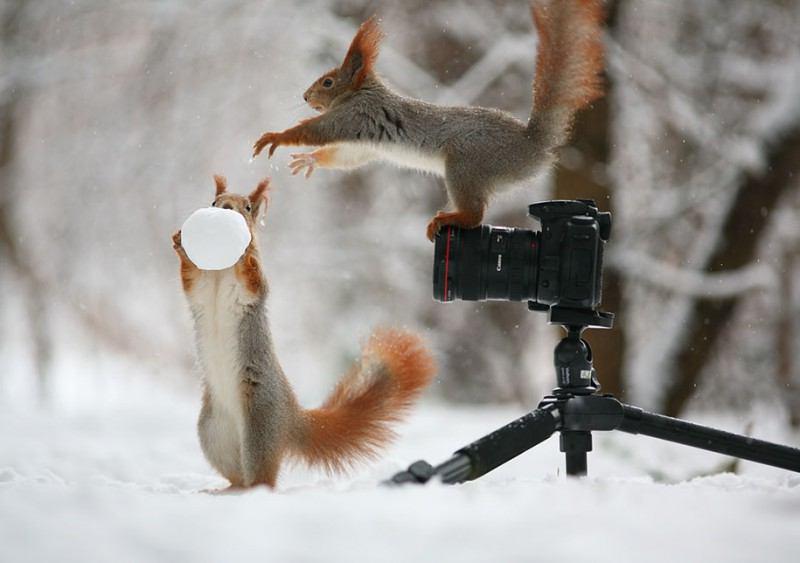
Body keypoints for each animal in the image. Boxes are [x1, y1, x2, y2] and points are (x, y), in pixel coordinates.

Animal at [173, 176, 438, 490]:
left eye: (248, 207)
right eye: (214, 201)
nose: (224, 208)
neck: (221, 272)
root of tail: (291, 419)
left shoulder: (252, 292)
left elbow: (253, 281)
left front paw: (247, 255)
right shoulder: (201, 291)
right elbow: (191, 282)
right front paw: (180, 243)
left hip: (259, 430)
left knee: (263, 480)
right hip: (213, 434)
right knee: (238, 476)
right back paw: (226, 491)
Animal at [253, 0, 604, 240]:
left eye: (327, 82)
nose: (305, 97)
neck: (360, 92)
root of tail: (533, 144)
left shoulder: (356, 115)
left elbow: (318, 130)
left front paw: (276, 137)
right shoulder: (363, 143)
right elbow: (347, 156)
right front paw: (310, 160)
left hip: (467, 166)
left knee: (475, 215)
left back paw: (449, 219)